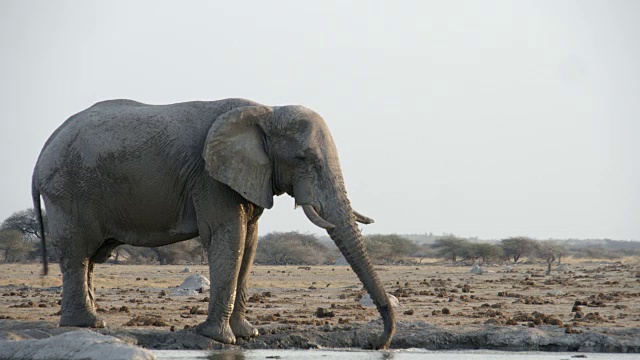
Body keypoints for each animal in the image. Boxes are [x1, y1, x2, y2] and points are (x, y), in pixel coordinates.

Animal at [32, 97, 398, 348]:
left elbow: (249, 243)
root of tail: (44, 150)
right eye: (302, 158)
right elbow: (229, 237)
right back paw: (88, 324)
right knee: (78, 252)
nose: (376, 343)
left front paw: (246, 335)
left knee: (93, 256)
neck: (265, 111)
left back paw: (92, 323)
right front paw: (219, 339)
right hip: (69, 191)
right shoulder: (210, 178)